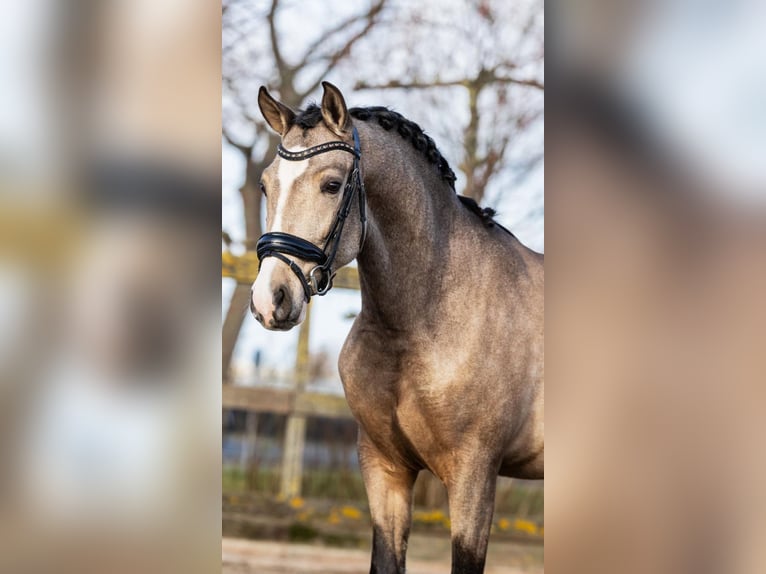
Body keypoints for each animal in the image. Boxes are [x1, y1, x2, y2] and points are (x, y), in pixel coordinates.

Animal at [249, 82, 544, 574]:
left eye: (332, 185)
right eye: (266, 185)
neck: (419, 325)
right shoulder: (384, 468)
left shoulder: (475, 475)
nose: (269, 300)